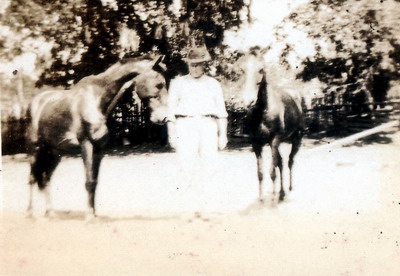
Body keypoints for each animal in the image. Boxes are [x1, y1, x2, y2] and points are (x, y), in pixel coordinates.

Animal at [26, 55, 167, 220]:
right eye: (159, 84)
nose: (163, 117)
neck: (97, 100)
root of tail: (35, 103)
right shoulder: (86, 144)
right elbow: (88, 181)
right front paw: (88, 217)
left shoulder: (99, 148)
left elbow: (95, 181)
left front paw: (94, 215)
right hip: (36, 149)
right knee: (32, 178)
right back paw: (30, 214)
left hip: (55, 153)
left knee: (46, 178)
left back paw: (50, 213)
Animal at [241, 49, 304, 202]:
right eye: (242, 69)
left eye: (261, 69)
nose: (248, 101)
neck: (263, 111)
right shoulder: (256, 143)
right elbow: (260, 173)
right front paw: (262, 198)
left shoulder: (274, 140)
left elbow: (272, 172)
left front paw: (272, 200)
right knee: (281, 163)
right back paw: (281, 193)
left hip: (296, 138)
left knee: (289, 161)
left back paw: (288, 189)